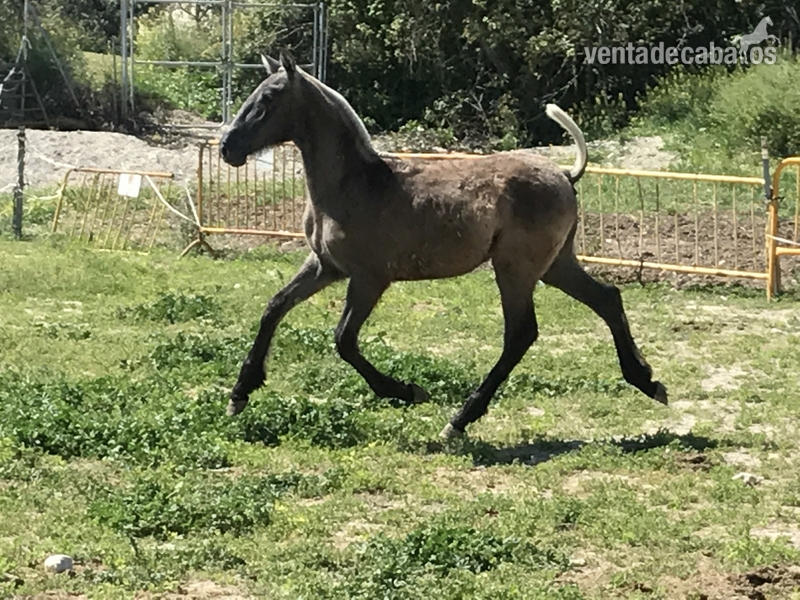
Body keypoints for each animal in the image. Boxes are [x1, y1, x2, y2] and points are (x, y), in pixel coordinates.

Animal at [219, 51, 667, 439]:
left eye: (270, 98)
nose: (227, 147)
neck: (355, 186)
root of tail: (563, 174)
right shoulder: (325, 267)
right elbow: (274, 307)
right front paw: (240, 393)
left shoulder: (369, 279)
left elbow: (344, 340)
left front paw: (406, 391)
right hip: (556, 264)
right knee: (606, 298)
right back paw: (647, 381)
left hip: (516, 269)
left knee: (520, 334)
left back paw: (459, 420)